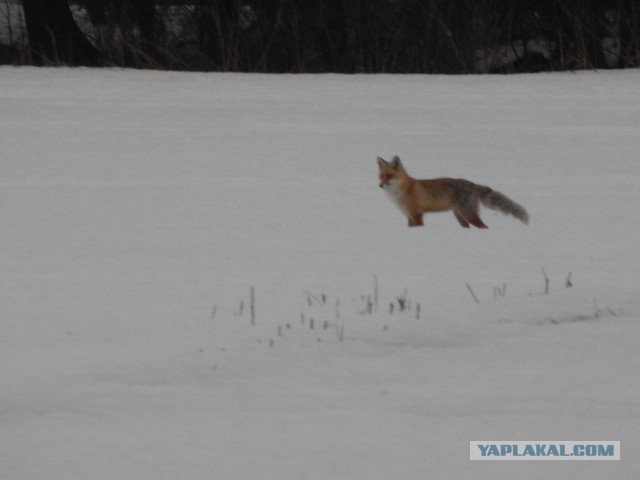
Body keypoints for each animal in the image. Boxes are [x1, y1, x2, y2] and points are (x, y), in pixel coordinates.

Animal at [378, 155, 528, 228]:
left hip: (468, 214)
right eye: (381, 176)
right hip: (460, 217)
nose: (380, 185)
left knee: (484, 227)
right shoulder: (409, 216)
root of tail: (473, 184)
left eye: (389, 176)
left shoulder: (416, 214)